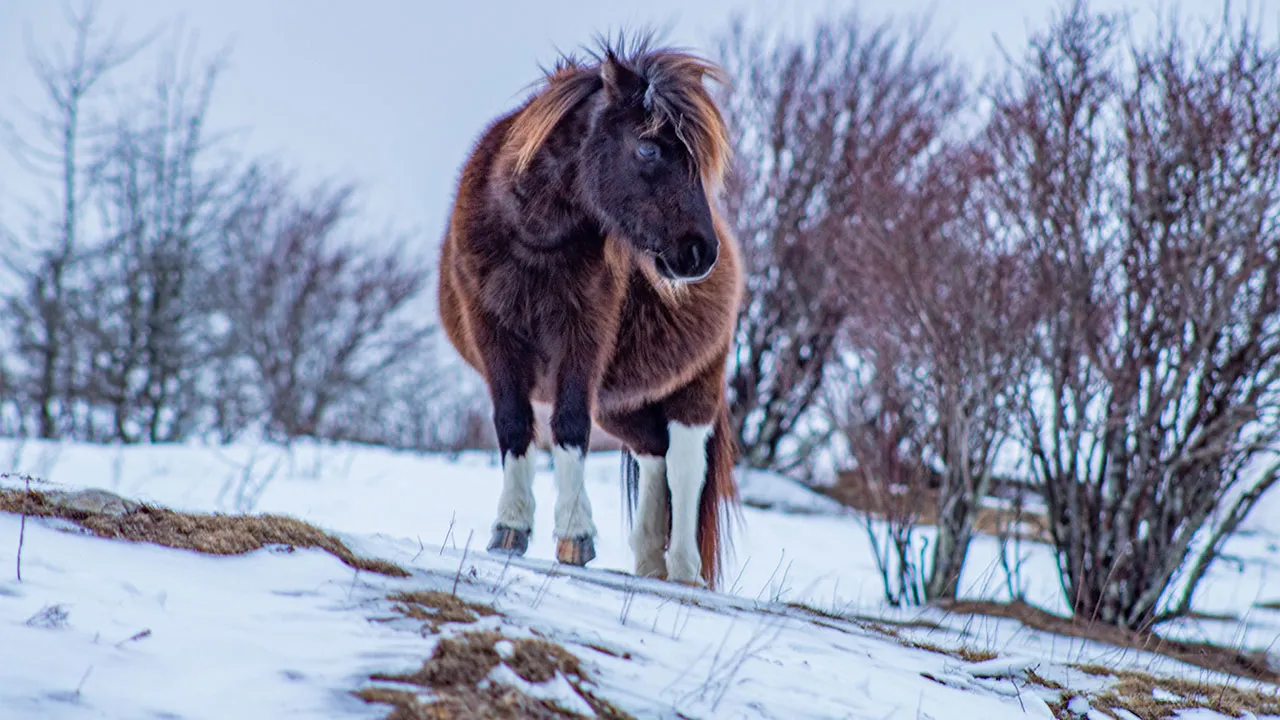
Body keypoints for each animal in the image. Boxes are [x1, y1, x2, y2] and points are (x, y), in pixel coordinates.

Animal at [436, 34, 743, 589]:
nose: (698, 254)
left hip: (696, 387)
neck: (532, 241)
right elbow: (514, 423)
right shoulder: (495, 335)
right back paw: (648, 560)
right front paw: (511, 527)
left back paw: (684, 569)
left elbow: (569, 425)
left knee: (687, 464)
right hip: (624, 404)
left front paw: (574, 536)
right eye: (648, 148)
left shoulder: (582, 338)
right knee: (654, 454)